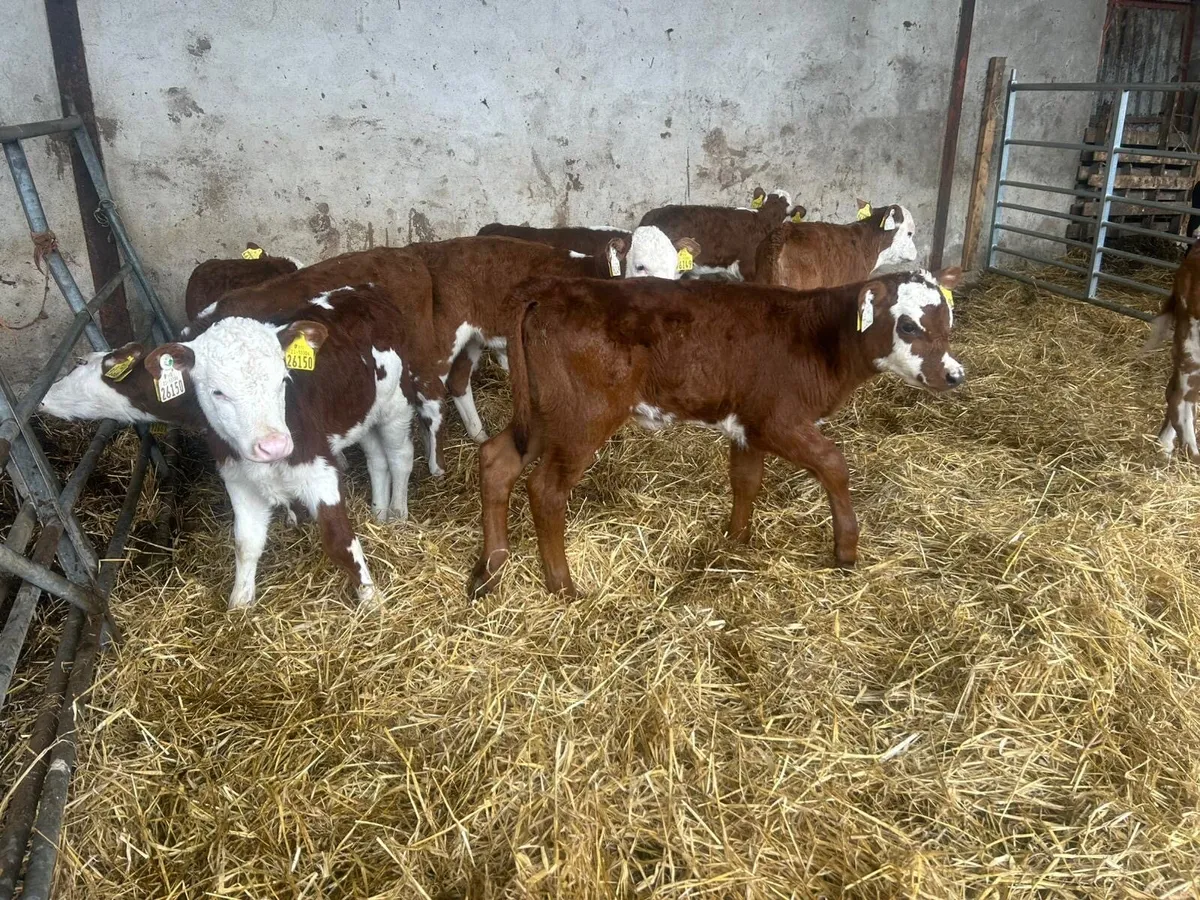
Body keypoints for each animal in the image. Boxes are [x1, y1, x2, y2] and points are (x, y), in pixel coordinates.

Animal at [42, 287, 421, 609]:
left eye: (284, 379)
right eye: (217, 392)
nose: (43, 396)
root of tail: (363, 291)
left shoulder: (318, 469)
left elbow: (340, 541)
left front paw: (372, 602)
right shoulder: (238, 476)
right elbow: (246, 543)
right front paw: (239, 606)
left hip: (397, 403)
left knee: (400, 457)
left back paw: (398, 513)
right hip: (361, 411)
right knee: (376, 459)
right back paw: (379, 511)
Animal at [467, 267, 964, 599]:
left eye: (948, 321)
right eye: (908, 324)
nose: (954, 375)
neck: (815, 336)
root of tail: (549, 292)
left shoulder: (747, 425)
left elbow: (745, 480)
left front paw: (735, 541)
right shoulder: (776, 420)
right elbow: (833, 464)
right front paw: (846, 550)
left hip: (543, 413)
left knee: (497, 460)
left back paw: (491, 569)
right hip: (581, 419)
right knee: (546, 489)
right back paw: (563, 586)